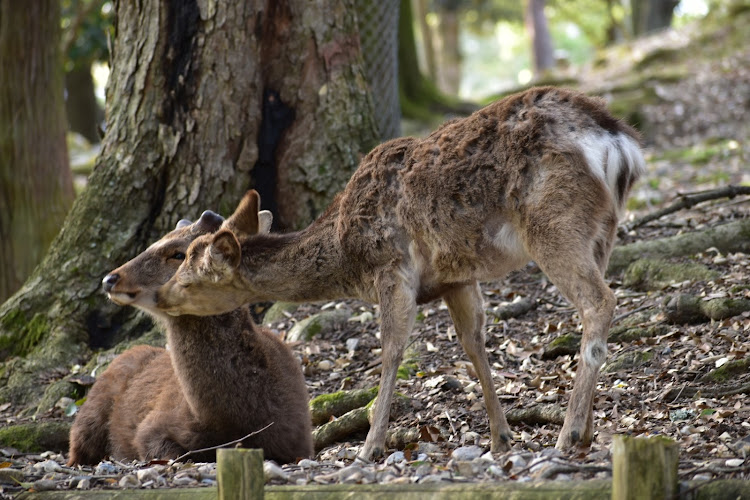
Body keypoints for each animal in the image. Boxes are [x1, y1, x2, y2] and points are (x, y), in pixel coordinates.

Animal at [157, 88, 648, 458]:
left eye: (189, 272)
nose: (161, 295)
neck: (346, 254)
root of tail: (619, 143)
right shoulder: (455, 277)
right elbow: (473, 344)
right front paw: (500, 437)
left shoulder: (391, 267)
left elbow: (392, 349)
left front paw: (369, 446)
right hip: (603, 231)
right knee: (594, 302)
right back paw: (585, 430)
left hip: (553, 224)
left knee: (599, 301)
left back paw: (569, 433)